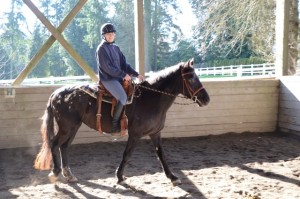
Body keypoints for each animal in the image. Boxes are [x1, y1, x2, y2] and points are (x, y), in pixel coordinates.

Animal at [34, 58, 210, 185]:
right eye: (191, 77)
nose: (206, 99)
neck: (151, 98)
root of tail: (56, 93)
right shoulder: (135, 134)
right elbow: (127, 154)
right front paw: (119, 176)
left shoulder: (155, 133)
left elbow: (161, 155)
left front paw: (172, 177)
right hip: (66, 127)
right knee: (54, 144)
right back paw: (55, 172)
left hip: (73, 127)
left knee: (63, 147)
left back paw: (69, 175)